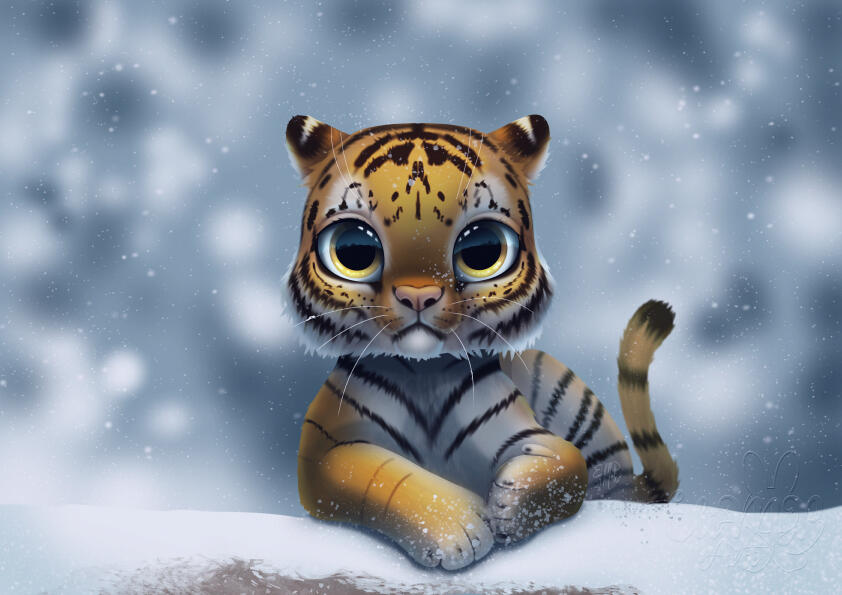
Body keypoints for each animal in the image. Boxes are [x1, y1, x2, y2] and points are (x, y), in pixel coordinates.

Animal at [283, 114, 679, 570]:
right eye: (354, 249)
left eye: (481, 248)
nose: (418, 296)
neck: (424, 373)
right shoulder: (325, 450)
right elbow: (379, 474)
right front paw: (457, 526)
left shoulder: (518, 431)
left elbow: (568, 463)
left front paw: (510, 507)